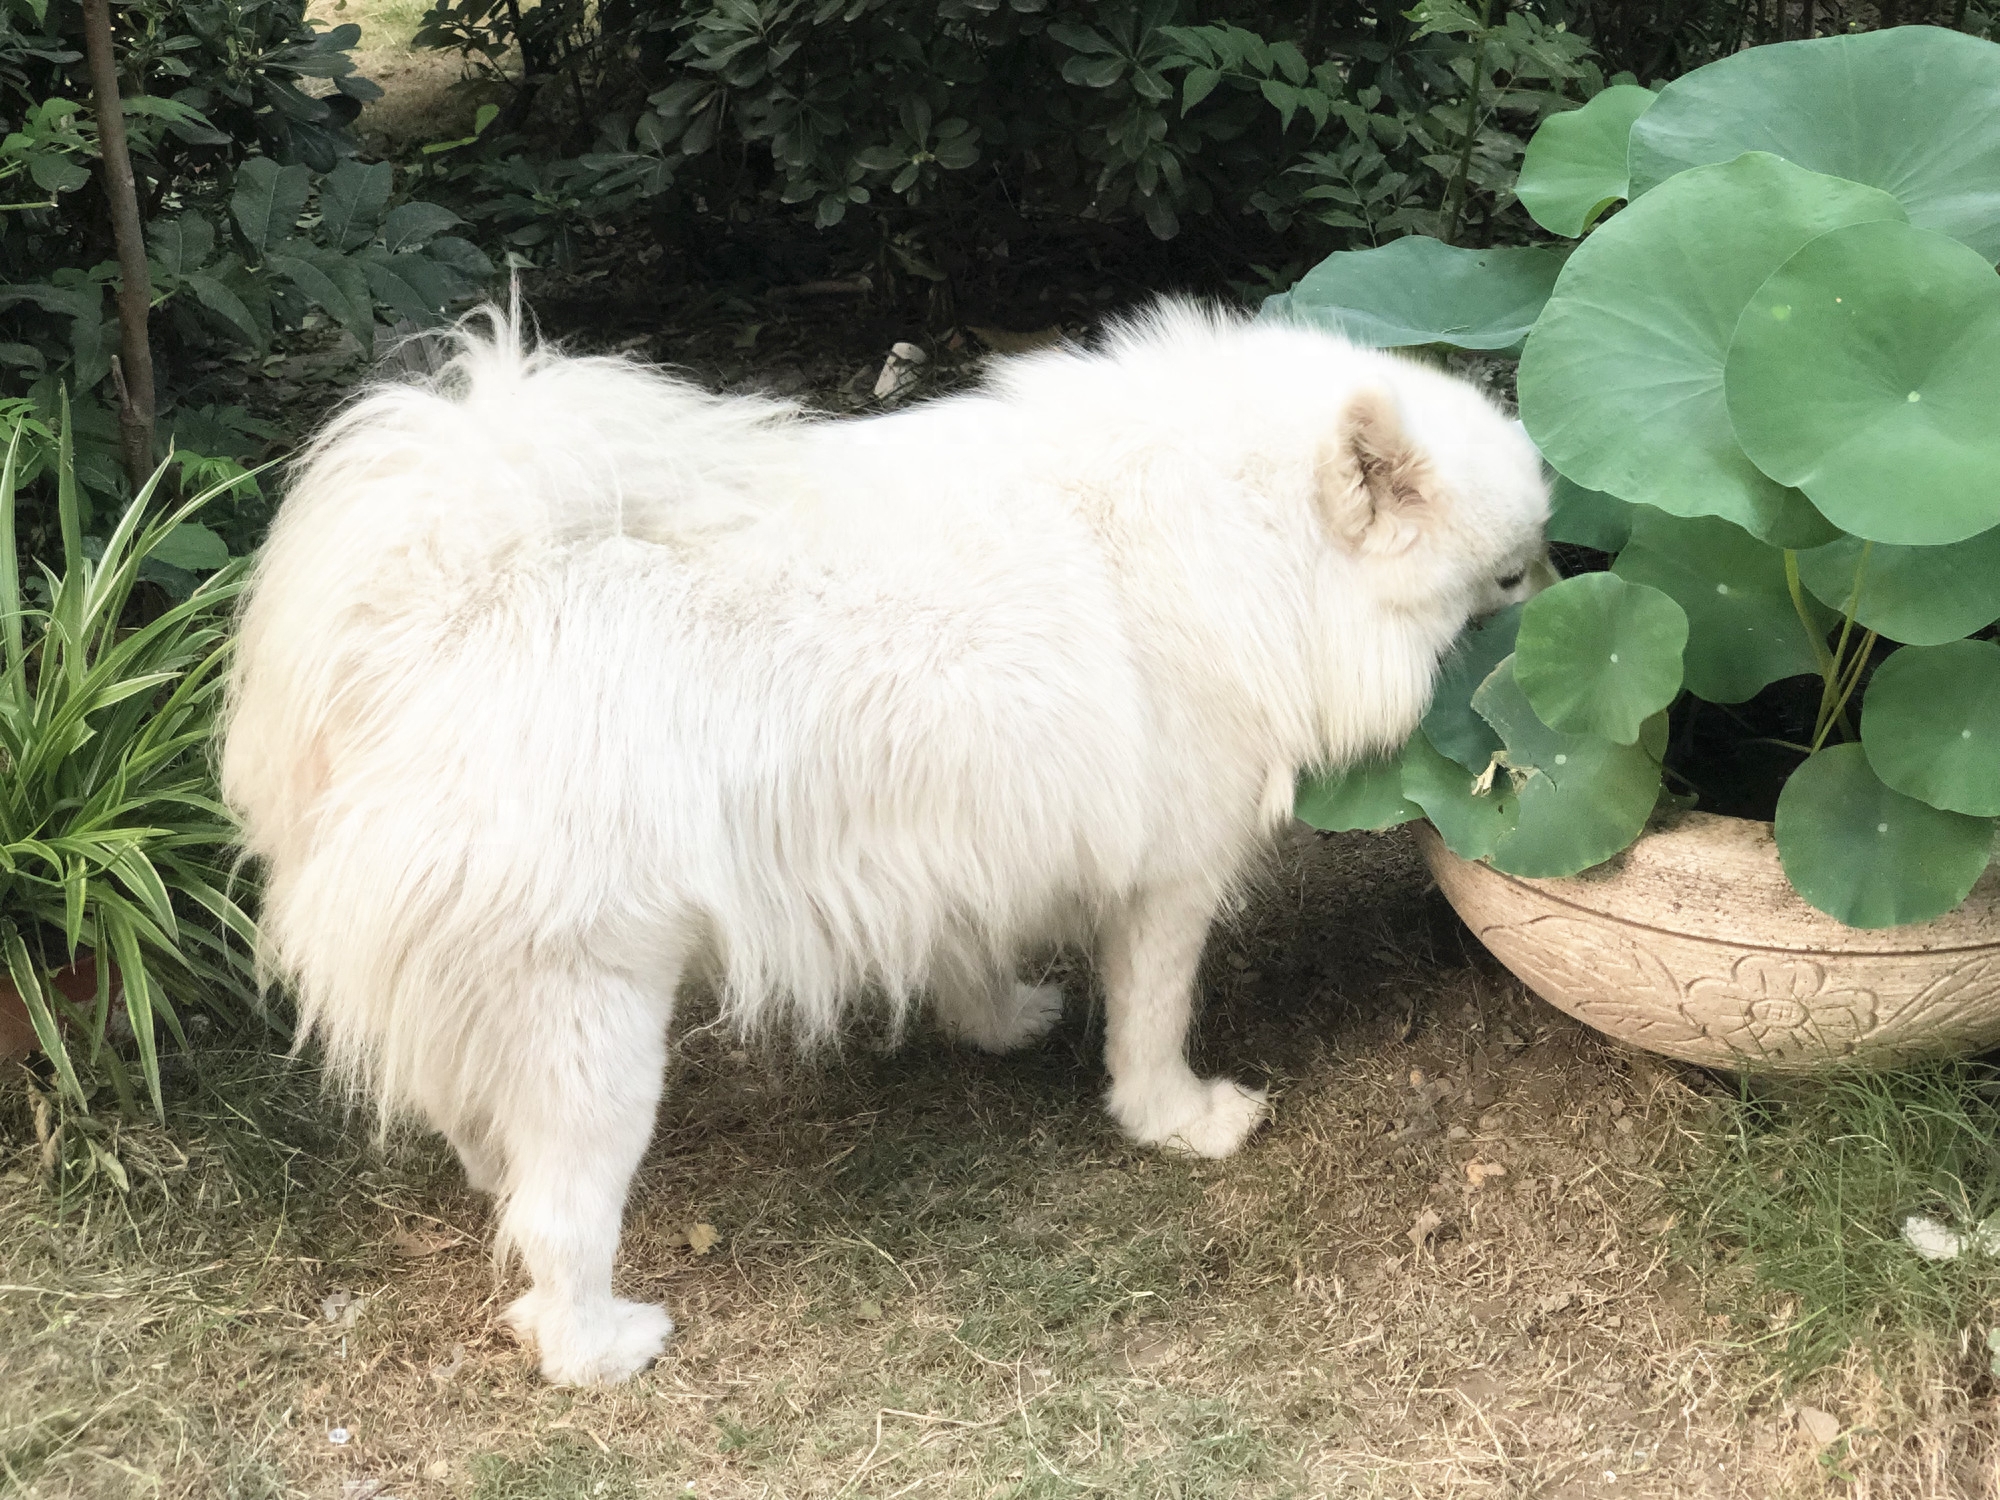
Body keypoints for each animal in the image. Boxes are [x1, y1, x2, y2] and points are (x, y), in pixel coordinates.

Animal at [227, 302, 1552, 1384]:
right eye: (1507, 578)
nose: (1570, 600)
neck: (1250, 536)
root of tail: (433, 610)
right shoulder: (1168, 878)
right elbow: (1153, 1020)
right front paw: (1178, 1119)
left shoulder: (947, 844)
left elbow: (971, 954)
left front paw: (1001, 1019)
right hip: (590, 1015)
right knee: (561, 1219)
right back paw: (599, 1345)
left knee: (475, 1122)